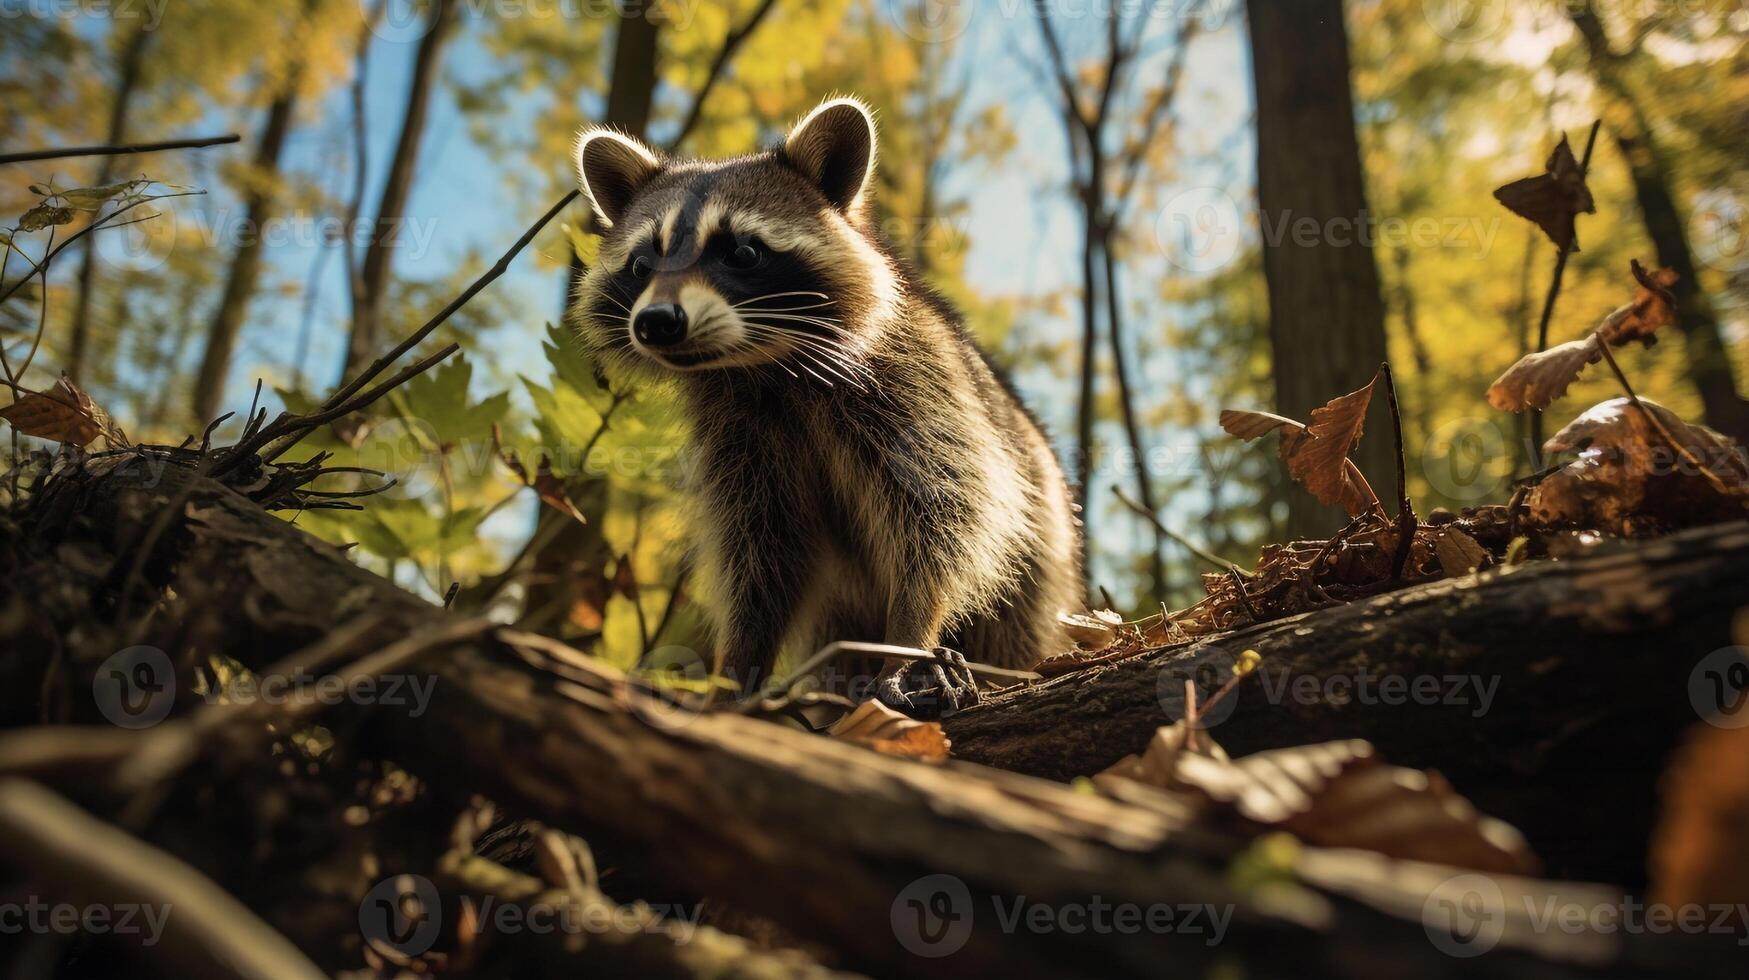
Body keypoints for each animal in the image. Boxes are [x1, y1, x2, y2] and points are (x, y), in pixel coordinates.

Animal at [566, 93, 1077, 703]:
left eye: (742, 253)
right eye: (643, 264)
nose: (657, 322)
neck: (763, 365)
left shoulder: (918, 385)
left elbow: (946, 516)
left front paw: (909, 635)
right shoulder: (740, 433)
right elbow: (766, 555)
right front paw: (737, 666)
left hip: (1040, 578)